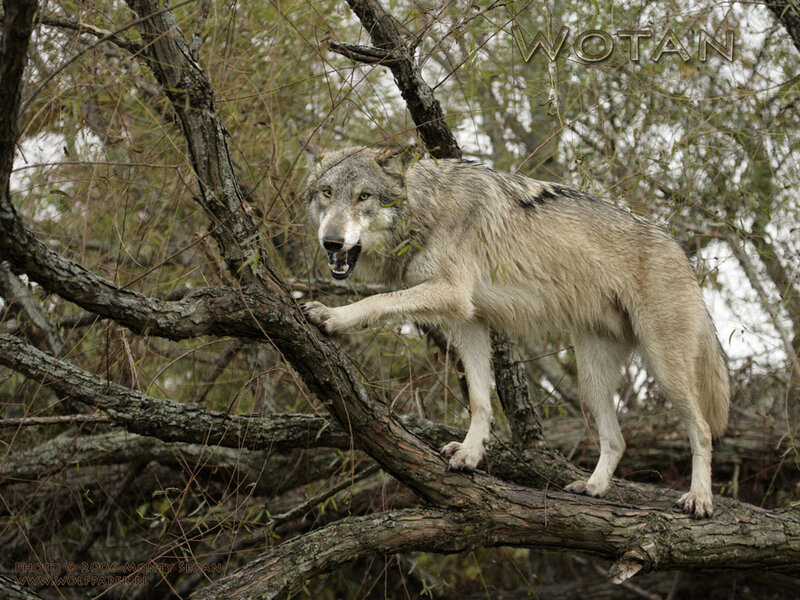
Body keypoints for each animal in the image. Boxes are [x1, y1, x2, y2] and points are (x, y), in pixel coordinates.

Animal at [300, 143, 730, 518]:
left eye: (363, 196)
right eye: (326, 193)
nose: (331, 242)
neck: (427, 206)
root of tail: (683, 254)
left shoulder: (451, 294)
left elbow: (375, 302)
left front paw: (332, 316)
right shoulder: (469, 320)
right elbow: (480, 400)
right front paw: (471, 454)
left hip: (665, 368)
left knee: (703, 431)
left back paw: (700, 499)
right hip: (591, 378)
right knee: (617, 439)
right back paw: (593, 487)